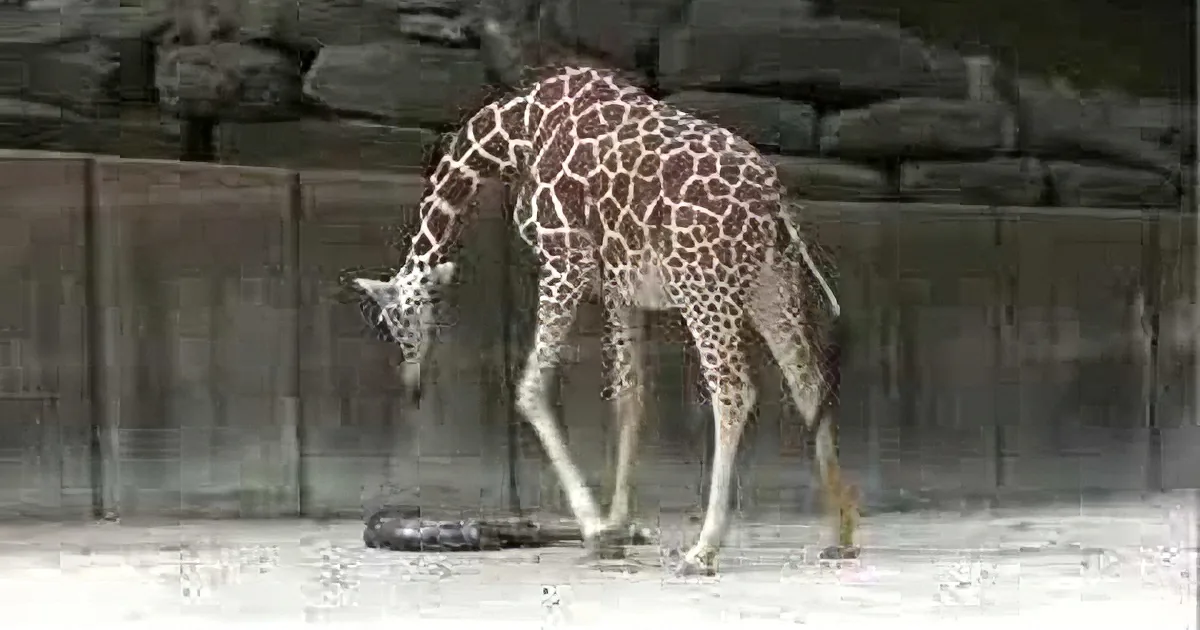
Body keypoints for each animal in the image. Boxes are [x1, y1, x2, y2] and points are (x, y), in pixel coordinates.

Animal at [351, 66, 857, 575]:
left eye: (395, 322)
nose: (412, 386)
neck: (515, 132)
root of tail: (776, 204)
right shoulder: (621, 288)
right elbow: (628, 398)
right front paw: (619, 525)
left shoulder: (564, 260)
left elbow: (530, 389)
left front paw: (597, 531)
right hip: (771, 283)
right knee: (808, 381)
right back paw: (842, 536)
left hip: (702, 285)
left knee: (733, 391)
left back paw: (702, 550)